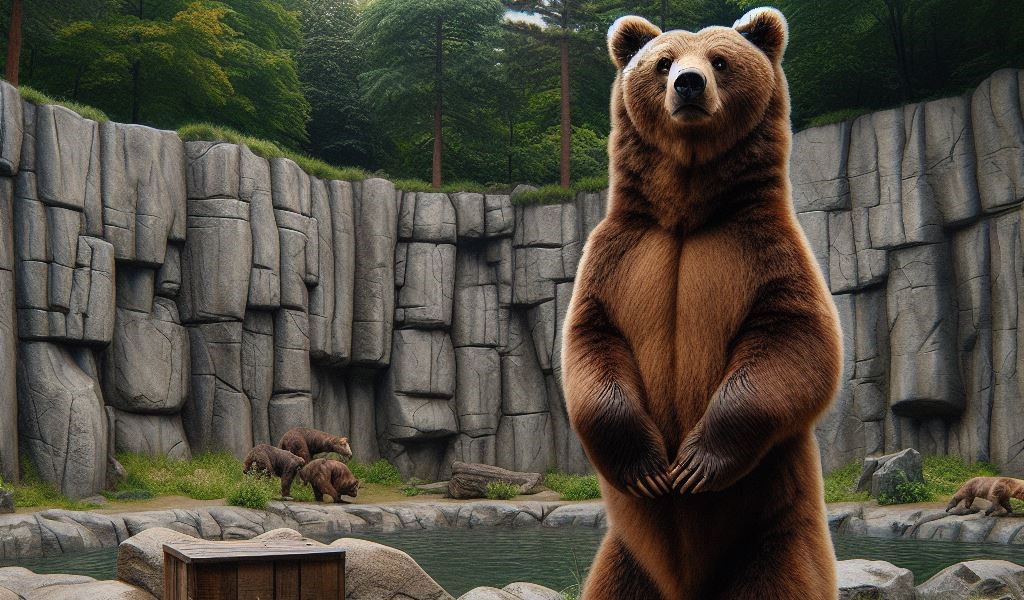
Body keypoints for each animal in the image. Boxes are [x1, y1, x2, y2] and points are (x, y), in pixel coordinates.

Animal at [561, 8, 842, 600]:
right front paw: (648, 468)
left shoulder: (767, 252)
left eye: (720, 59)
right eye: (662, 62)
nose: (688, 84)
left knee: (779, 579)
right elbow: (592, 343)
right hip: (626, 560)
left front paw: (692, 465)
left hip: (773, 535)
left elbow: (796, 340)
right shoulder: (618, 258)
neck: (687, 217)